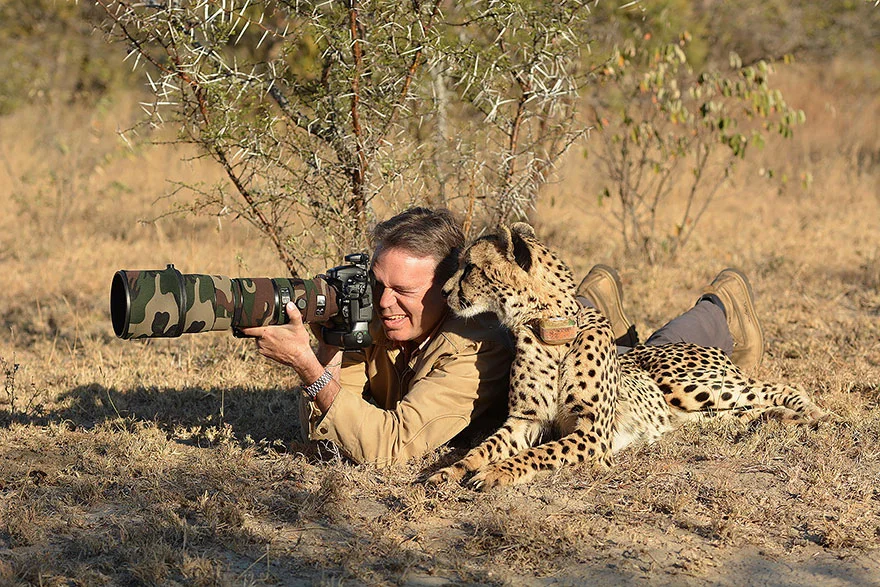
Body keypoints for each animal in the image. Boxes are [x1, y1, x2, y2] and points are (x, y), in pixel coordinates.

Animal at [426, 223, 824, 490]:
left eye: (470, 268)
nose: (443, 292)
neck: (549, 329)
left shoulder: (593, 434)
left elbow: (536, 455)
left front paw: (496, 472)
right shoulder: (525, 421)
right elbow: (483, 448)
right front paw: (449, 470)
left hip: (687, 385)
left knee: (775, 387)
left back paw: (812, 412)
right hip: (697, 413)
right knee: (747, 409)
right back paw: (782, 418)